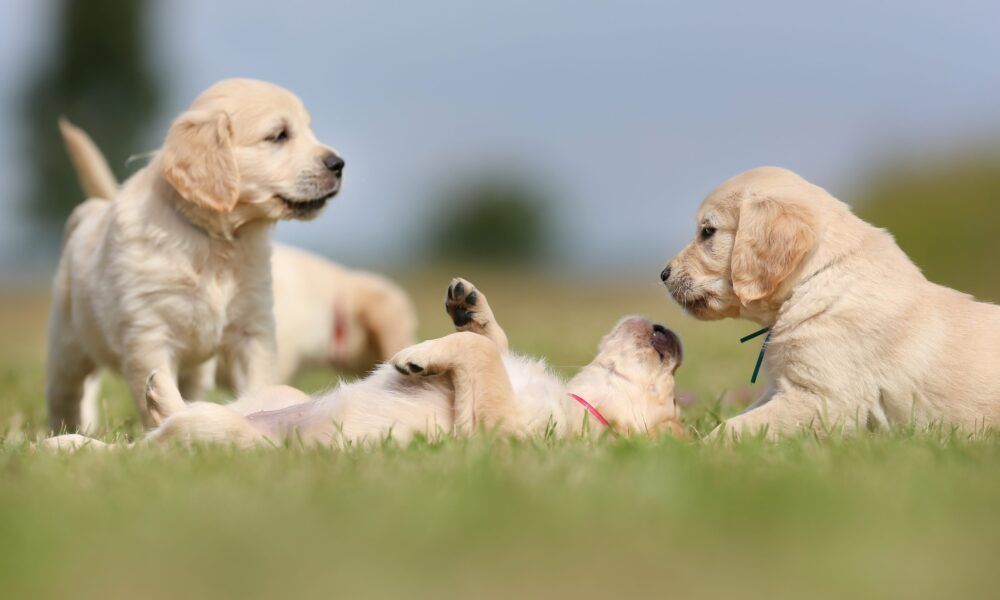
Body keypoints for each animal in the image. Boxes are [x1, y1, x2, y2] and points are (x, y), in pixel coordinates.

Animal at [45, 278, 688, 448]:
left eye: (670, 409)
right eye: (671, 385)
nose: (673, 335)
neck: (583, 406)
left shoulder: (497, 434)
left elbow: (481, 353)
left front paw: (414, 358)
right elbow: (492, 341)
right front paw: (468, 306)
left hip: (226, 438)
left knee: (149, 445)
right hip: (276, 392)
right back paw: (151, 396)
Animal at [48, 78, 346, 432]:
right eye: (279, 135)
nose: (339, 164)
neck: (216, 244)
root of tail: (94, 209)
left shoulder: (253, 330)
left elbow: (259, 383)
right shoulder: (149, 335)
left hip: (196, 371)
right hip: (68, 348)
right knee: (64, 396)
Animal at [664, 166, 1000, 438]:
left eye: (708, 231)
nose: (663, 274)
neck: (816, 280)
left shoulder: (824, 399)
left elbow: (736, 427)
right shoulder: (781, 388)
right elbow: (742, 417)